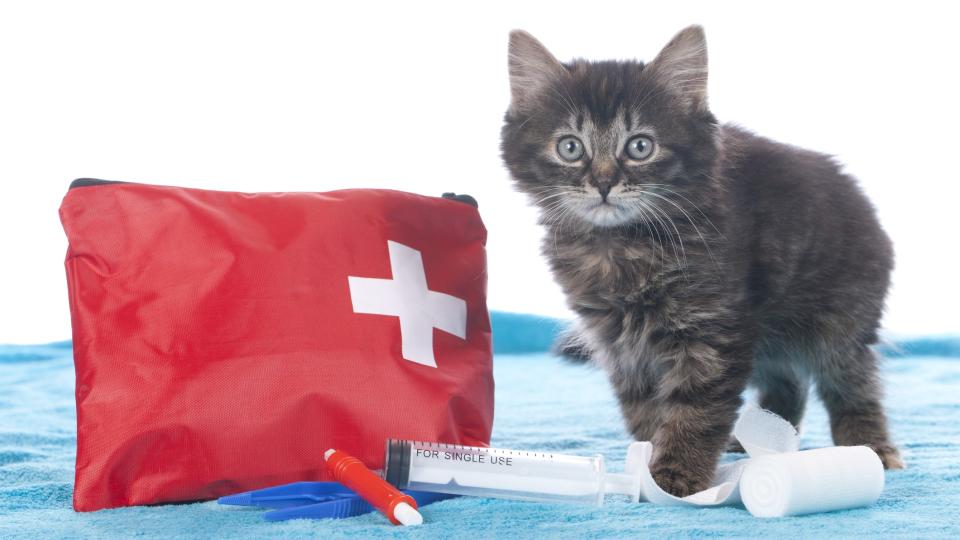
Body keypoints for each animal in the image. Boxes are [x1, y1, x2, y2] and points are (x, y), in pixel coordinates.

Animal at [498, 26, 904, 498]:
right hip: (770, 333)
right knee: (788, 382)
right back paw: (763, 438)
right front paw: (646, 460)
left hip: (839, 320)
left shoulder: (710, 332)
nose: (603, 183)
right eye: (569, 147)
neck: (621, 246)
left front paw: (675, 477)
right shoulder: (620, 344)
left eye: (640, 146)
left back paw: (870, 446)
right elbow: (644, 408)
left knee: (852, 383)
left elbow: (695, 408)